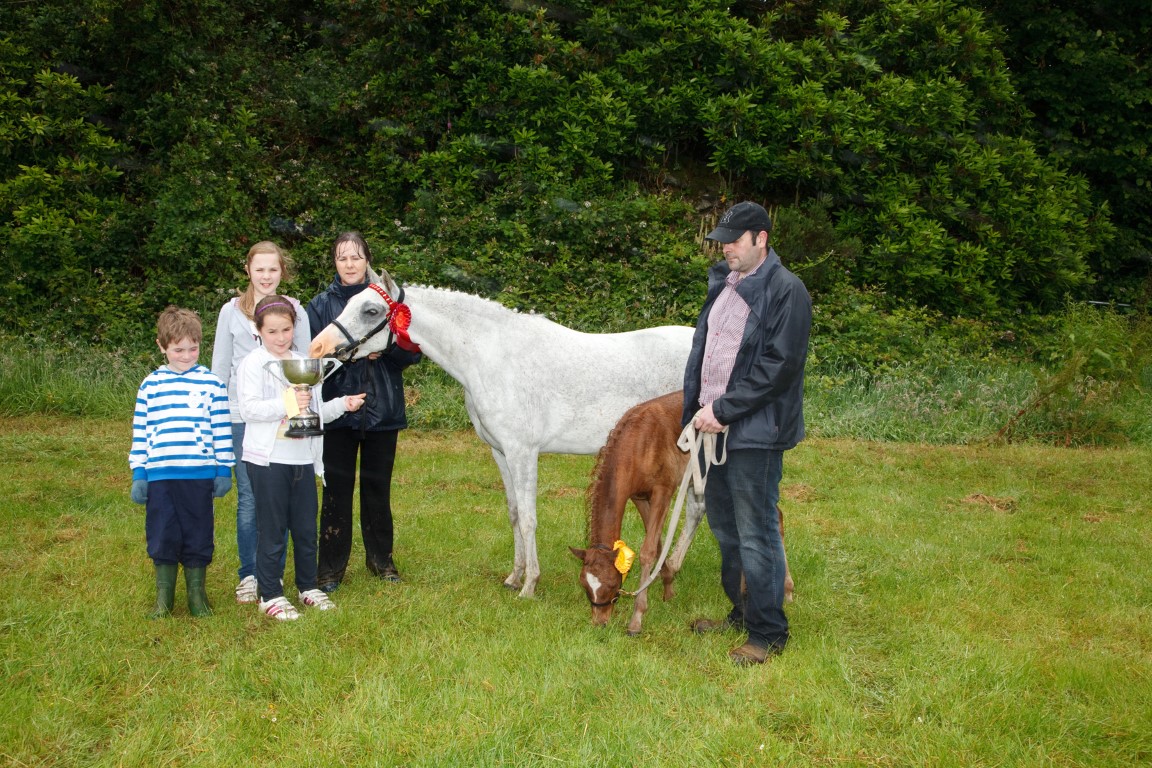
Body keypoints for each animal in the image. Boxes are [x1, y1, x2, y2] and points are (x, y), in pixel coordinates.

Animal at [308, 271, 694, 598]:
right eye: (349, 303)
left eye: (371, 310)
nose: (317, 348)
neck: (493, 357)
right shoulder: (501, 452)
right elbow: (514, 514)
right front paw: (514, 577)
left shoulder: (523, 452)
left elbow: (529, 517)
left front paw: (530, 586)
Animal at [569, 391, 794, 635]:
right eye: (584, 584)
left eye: (612, 583)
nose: (599, 622)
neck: (638, 443)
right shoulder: (640, 497)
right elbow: (658, 543)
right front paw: (668, 586)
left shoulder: (663, 491)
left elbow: (648, 551)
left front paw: (637, 617)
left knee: (774, 517)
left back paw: (786, 588)